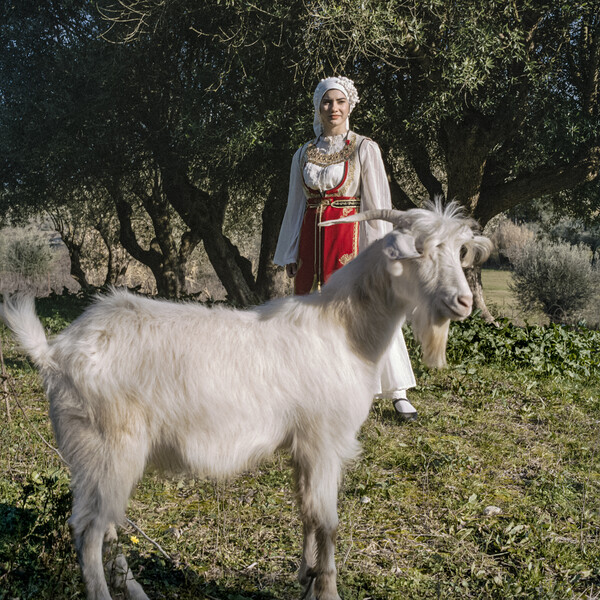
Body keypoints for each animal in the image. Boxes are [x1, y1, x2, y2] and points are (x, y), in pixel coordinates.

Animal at [0, 203, 488, 600]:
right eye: (421, 251)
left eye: (458, 251)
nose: (463, 302)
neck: (342, 330)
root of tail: (55, 353)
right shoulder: (324, 440)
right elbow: (327, 520)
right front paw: (327, 589)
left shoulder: (303, 446)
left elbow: (306, 512)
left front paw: (306, 577)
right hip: (107, 445)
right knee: (88, 529)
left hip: (98, 456)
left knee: (105, 526)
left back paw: (134, 589)